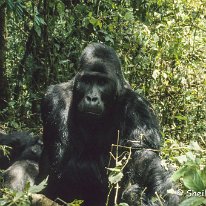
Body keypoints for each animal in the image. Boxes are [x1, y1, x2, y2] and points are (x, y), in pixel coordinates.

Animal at [38, 42, 179, 205]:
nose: (92, 98)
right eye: (87, 80)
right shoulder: (55, 99)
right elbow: (61, 163)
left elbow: (142, 154)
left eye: (102, 82)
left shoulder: (138, 106)